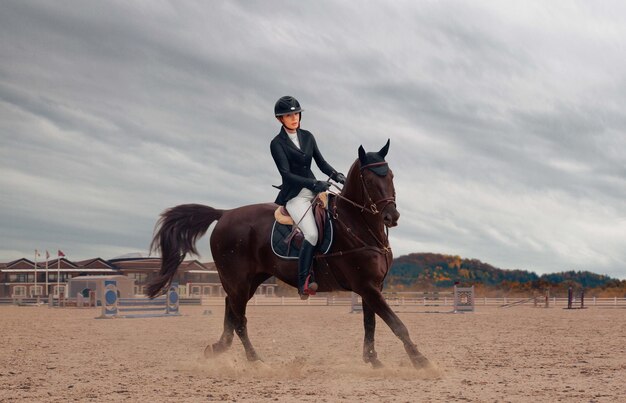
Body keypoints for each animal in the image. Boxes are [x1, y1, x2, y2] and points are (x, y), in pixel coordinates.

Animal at [146, 140, 428, 370]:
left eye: (391, 176)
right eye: (368, 180)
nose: (392, 216)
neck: (359, 226)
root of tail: (224, 214)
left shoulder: (372, 286)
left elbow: (371, 324)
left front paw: (373, 360)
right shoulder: (366, 286)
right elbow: (396, 324)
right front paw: (421, 360)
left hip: (250, 280)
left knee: (231, 310)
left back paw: (217, 349)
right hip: (238, 280)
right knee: (240, 319)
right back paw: (255, 360)